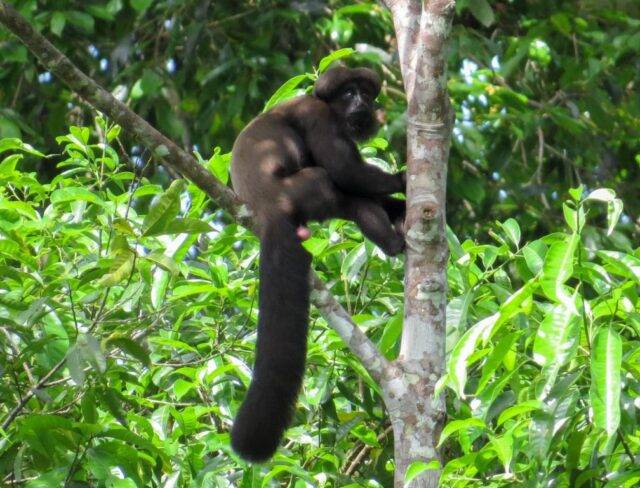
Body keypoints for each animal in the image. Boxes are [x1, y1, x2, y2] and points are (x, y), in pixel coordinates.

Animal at [229, 66, 405, 462]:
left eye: (366, 95)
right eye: (350, 92)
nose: (361, 103)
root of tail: (267, 211)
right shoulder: (318, 115)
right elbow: (344, 169)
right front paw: (402, 179)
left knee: (353, 200)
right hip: (300, 188)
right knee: (331, 180)